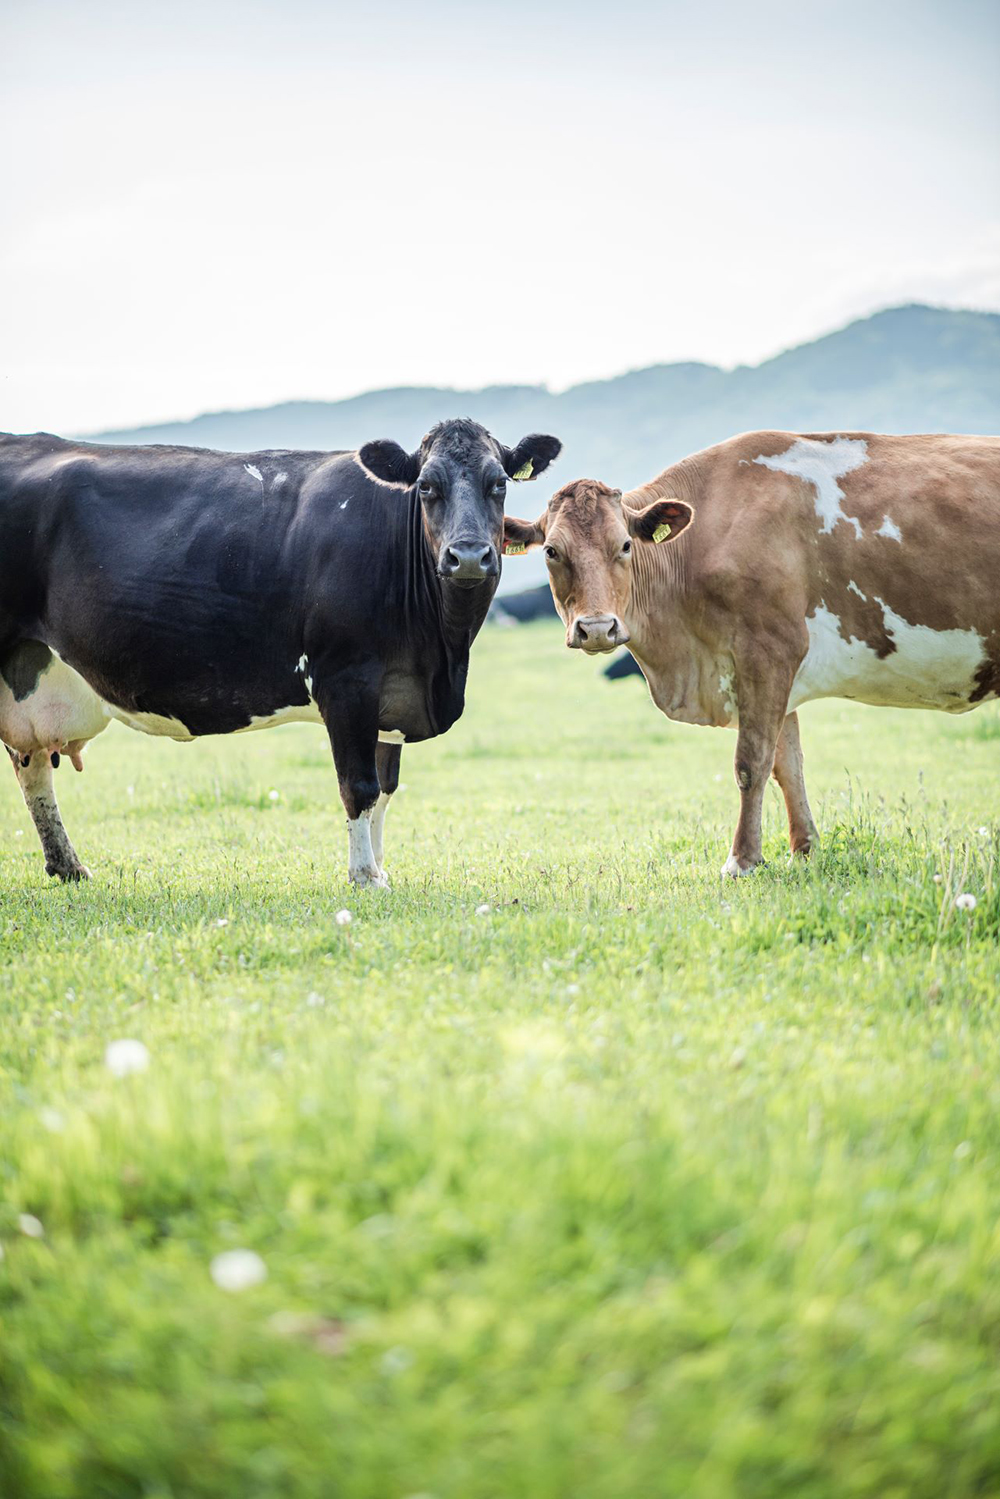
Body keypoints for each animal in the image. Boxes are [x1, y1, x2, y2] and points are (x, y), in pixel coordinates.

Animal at [0, 416, 563, 881]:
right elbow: (359, 785)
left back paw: (69, 867)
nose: (467, 555)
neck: (440, 657)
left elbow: (385, 788)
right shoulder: (345, 678)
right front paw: (365, 877)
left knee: (30, 762)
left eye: (499, 483)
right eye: (426, 486)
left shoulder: (393, 691)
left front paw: (381, 869)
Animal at [509, 431, 1000, 875]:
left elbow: (752, 762)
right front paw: (804, 850)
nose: (596, 628)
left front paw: (742, 860)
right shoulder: (775, 671)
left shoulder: (768, 651)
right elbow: (788, 765)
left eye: (625, 545)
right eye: (551, 550)